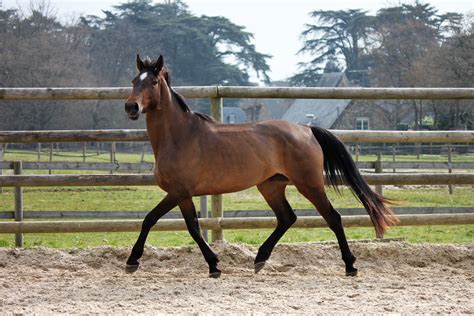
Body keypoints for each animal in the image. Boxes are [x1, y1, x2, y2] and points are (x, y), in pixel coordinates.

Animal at [124, 55, 398, 278]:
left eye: (153, 82)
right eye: (134, 80)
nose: (131, 107)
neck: (180, 136)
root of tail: (307, 129)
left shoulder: (179, 191)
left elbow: (156, 220)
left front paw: (133, 261)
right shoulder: (182, 194)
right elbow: (188, 226)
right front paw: (213, 265)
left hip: (309, 184)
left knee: (333, 217)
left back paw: (350, 265)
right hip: (271, 186)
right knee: (287, 217)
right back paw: (260, 259)